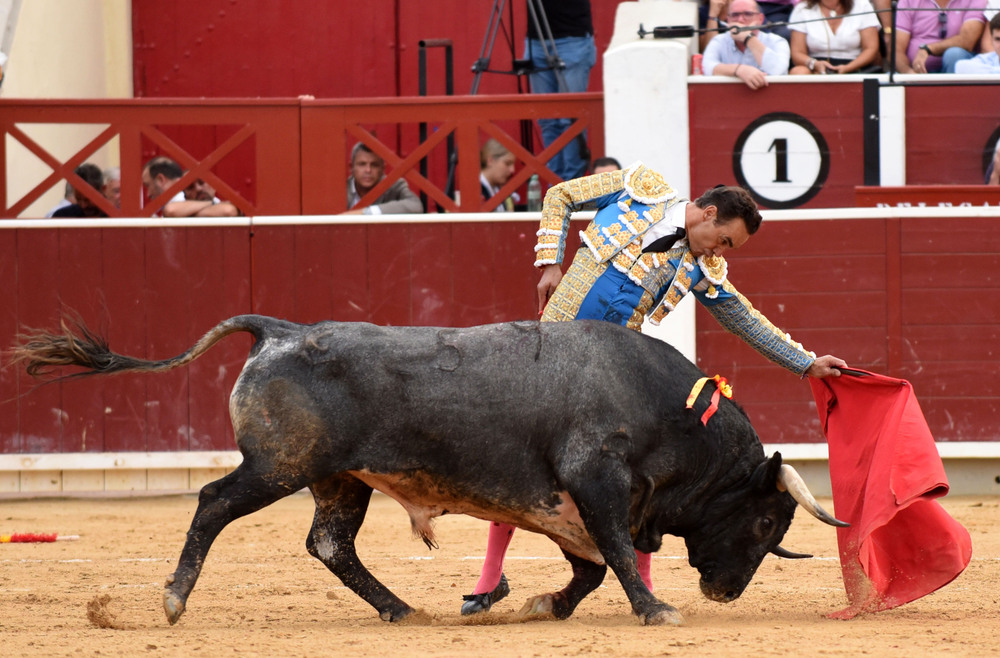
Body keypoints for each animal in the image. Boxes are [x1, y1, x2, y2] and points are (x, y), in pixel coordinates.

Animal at [11, 316, 848, 624]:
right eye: (766, 519)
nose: (726, 591)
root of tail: (280, 329)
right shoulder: (595, 481)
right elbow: (613, 553)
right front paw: (655, 609)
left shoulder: (565, 504)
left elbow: (589, 568)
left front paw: (541, 605)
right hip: (280, 466)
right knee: (214, 502)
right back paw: (174, 598)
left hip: (339, 481)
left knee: (330, 544)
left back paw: (401, 610)